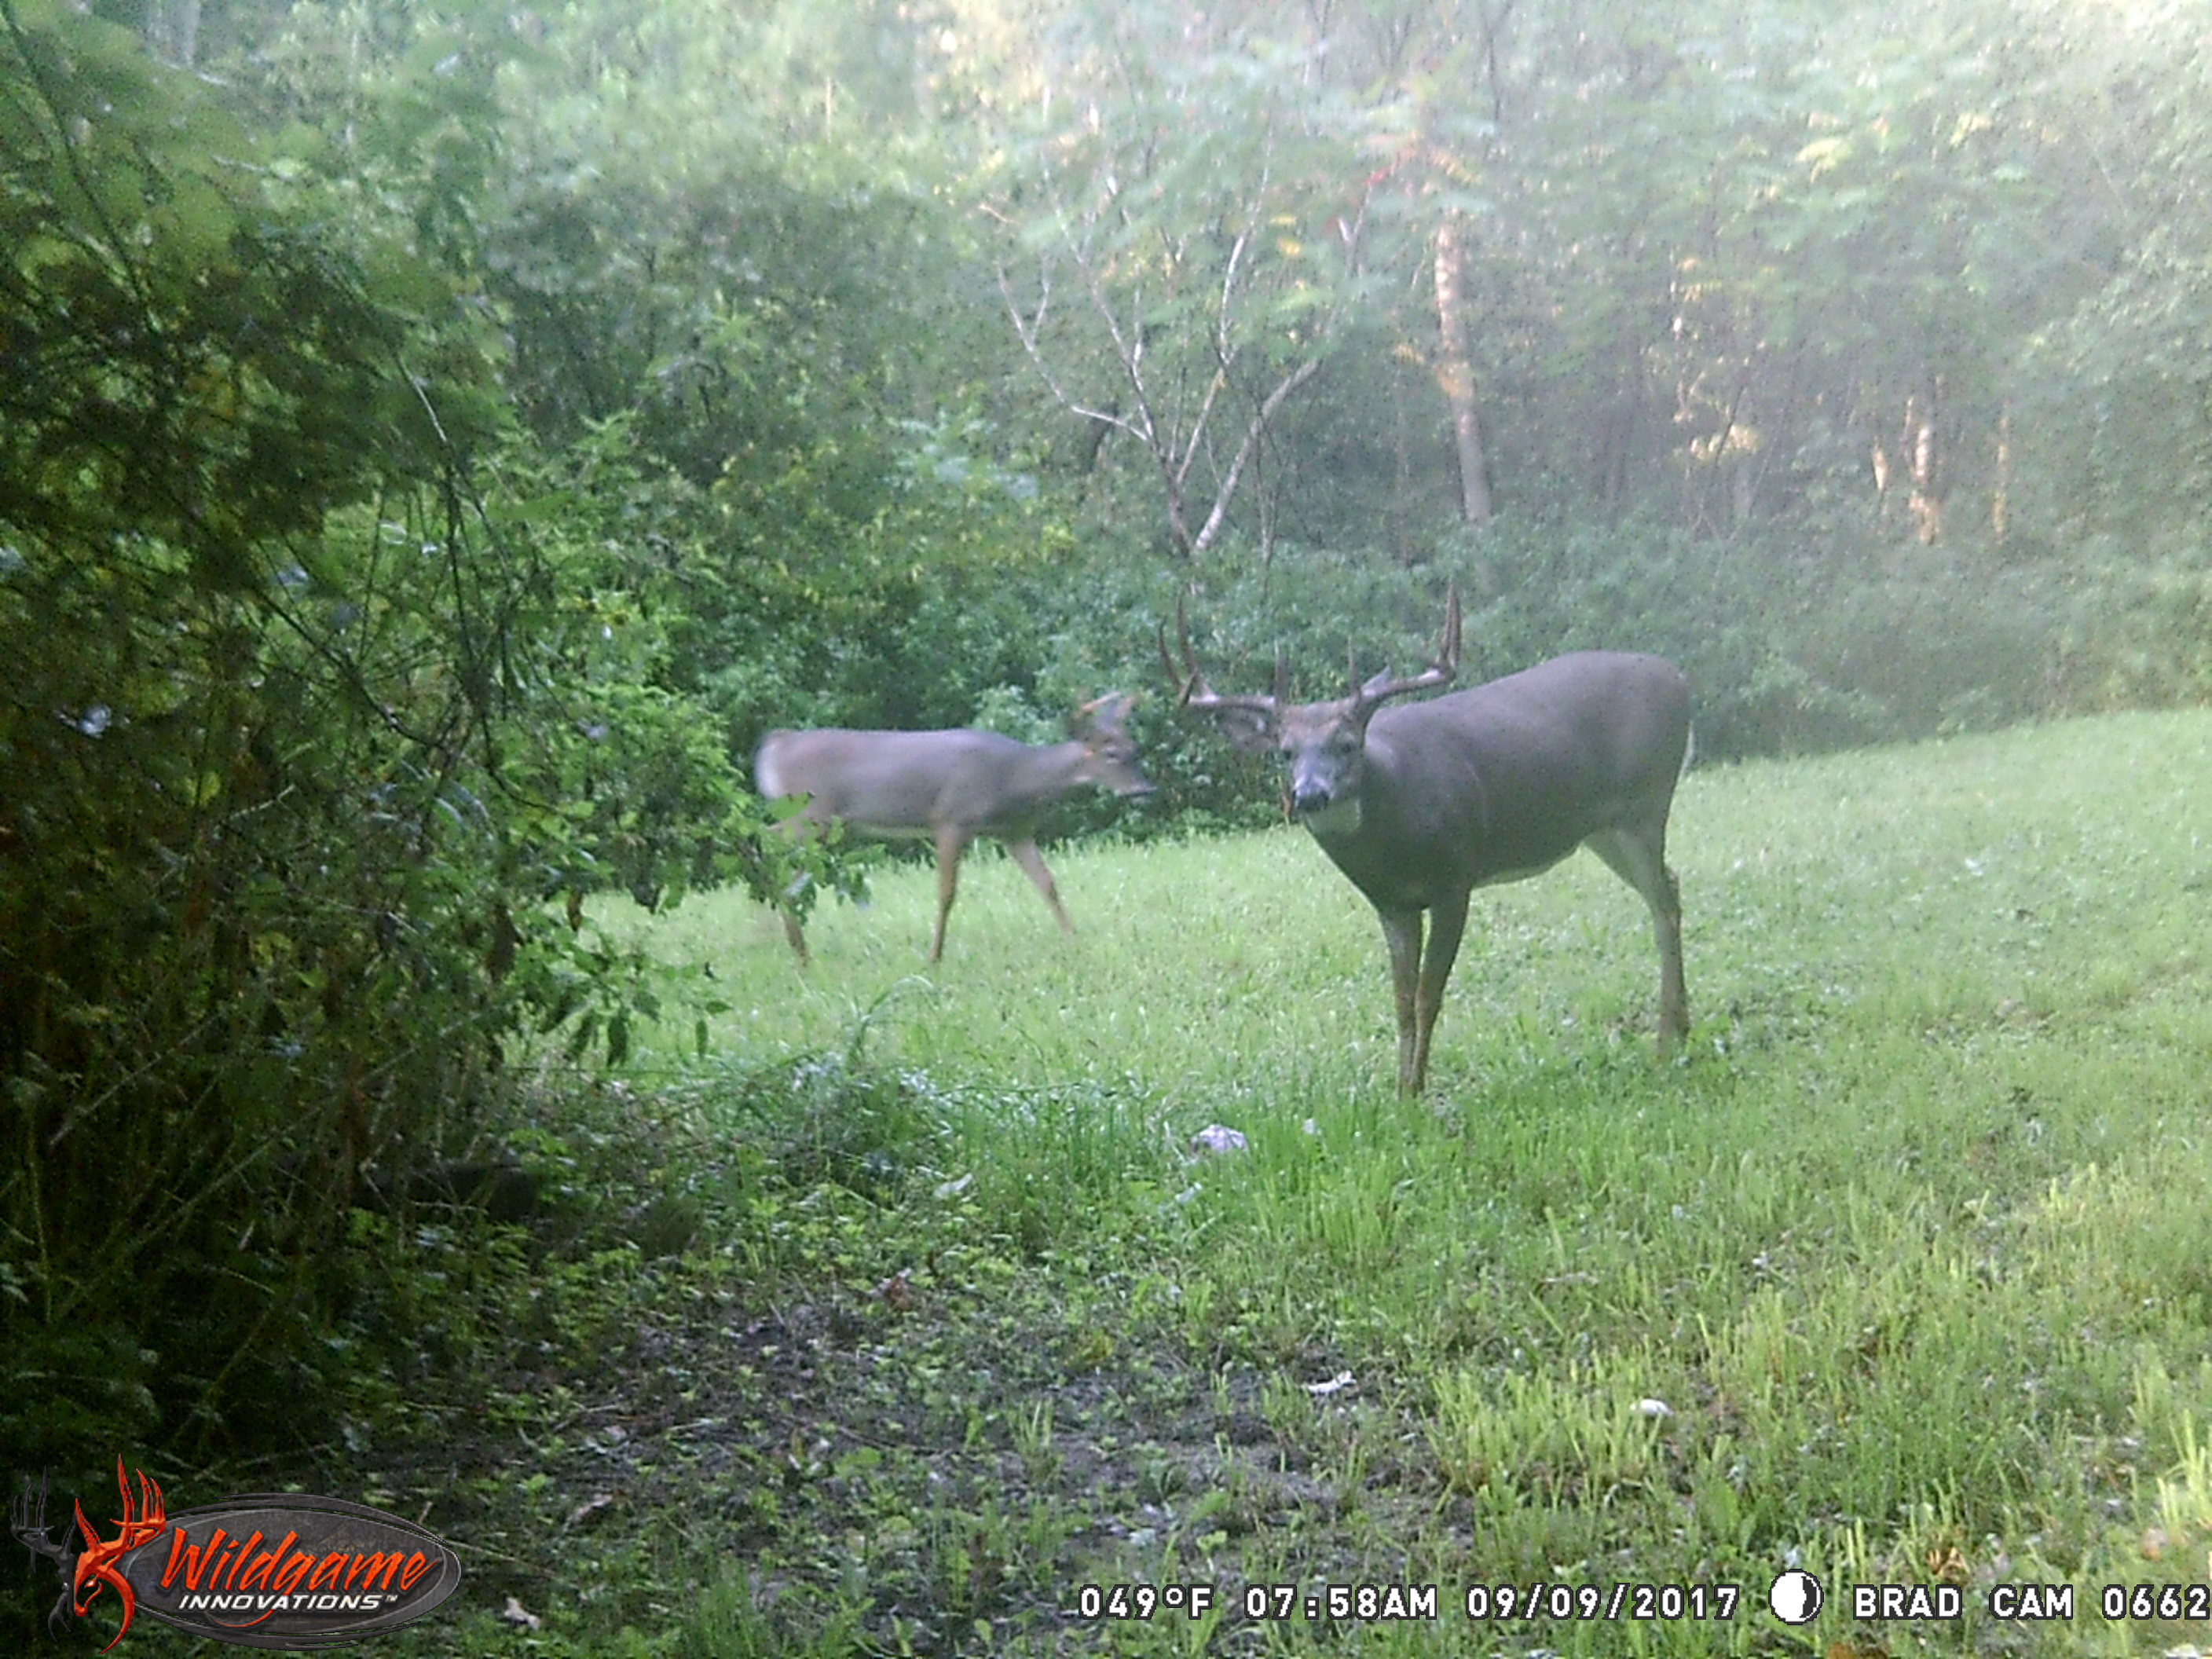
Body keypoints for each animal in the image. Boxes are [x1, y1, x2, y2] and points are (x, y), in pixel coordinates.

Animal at [754, 693, 1154, 965]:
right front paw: (933, 956)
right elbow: (946, 893)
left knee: (769, 845)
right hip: (811, 816)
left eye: (1136, 749)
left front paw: (1073, 938)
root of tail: (775, 745)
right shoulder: (951, 819)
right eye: (1111, 755)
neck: (1017, 778)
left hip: (815, 823)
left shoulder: (1014, 831)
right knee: (772, 850)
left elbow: (1047, 883)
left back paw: (778, 939)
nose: (1145, 790)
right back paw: (797, 951)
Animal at [1164, 587, 1691, 1094]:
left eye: (1347, 744)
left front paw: (1418, 1089)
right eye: (1286, 752)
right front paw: (1401, 1090)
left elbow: (1427, 995)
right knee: (1669, 888)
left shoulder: (1455, 879)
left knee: (1664, 903)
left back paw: (1666, 1042)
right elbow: (1400, 999)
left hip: (1646, 800)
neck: (1395, 841)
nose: (1309, 794)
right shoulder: (1391, 903)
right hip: (1604, 828)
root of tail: (1678, 678)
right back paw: (1681, 1028)